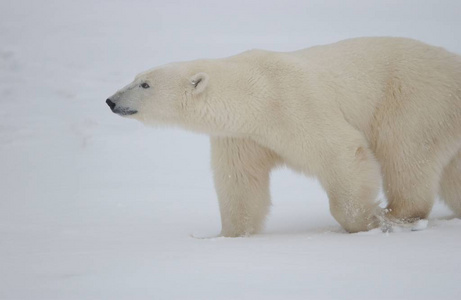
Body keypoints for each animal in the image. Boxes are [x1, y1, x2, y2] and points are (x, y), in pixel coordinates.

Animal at [106, 36, 460, 236]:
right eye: (136, 77)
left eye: (145, 84)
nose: (111, 100)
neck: (256, 92)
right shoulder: (242, 136)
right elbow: (240, 182)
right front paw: (228, 235)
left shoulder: (296, 104)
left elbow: (341, 151)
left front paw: (368, 222)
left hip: (415, 99)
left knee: (406, 153)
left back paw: (399, 216)